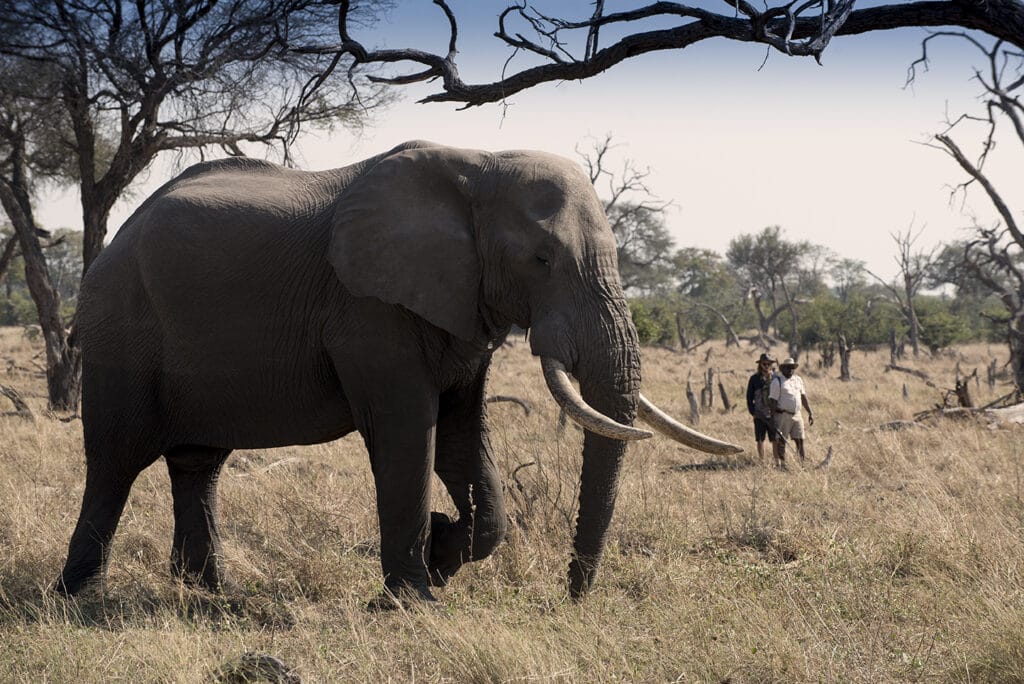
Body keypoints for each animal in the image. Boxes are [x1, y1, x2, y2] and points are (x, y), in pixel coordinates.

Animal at [56, 140, 741, 602]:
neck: (479, 163)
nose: (571, 597)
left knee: (198, 463)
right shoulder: (368, 307)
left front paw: (447, 548)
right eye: (541, 259)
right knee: (116, 458)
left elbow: (463, 432)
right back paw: (81, 599)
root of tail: (112, 242)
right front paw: (415, 598)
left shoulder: (460, 303)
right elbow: (409, 430)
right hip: (120, 328)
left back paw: (210, 594)